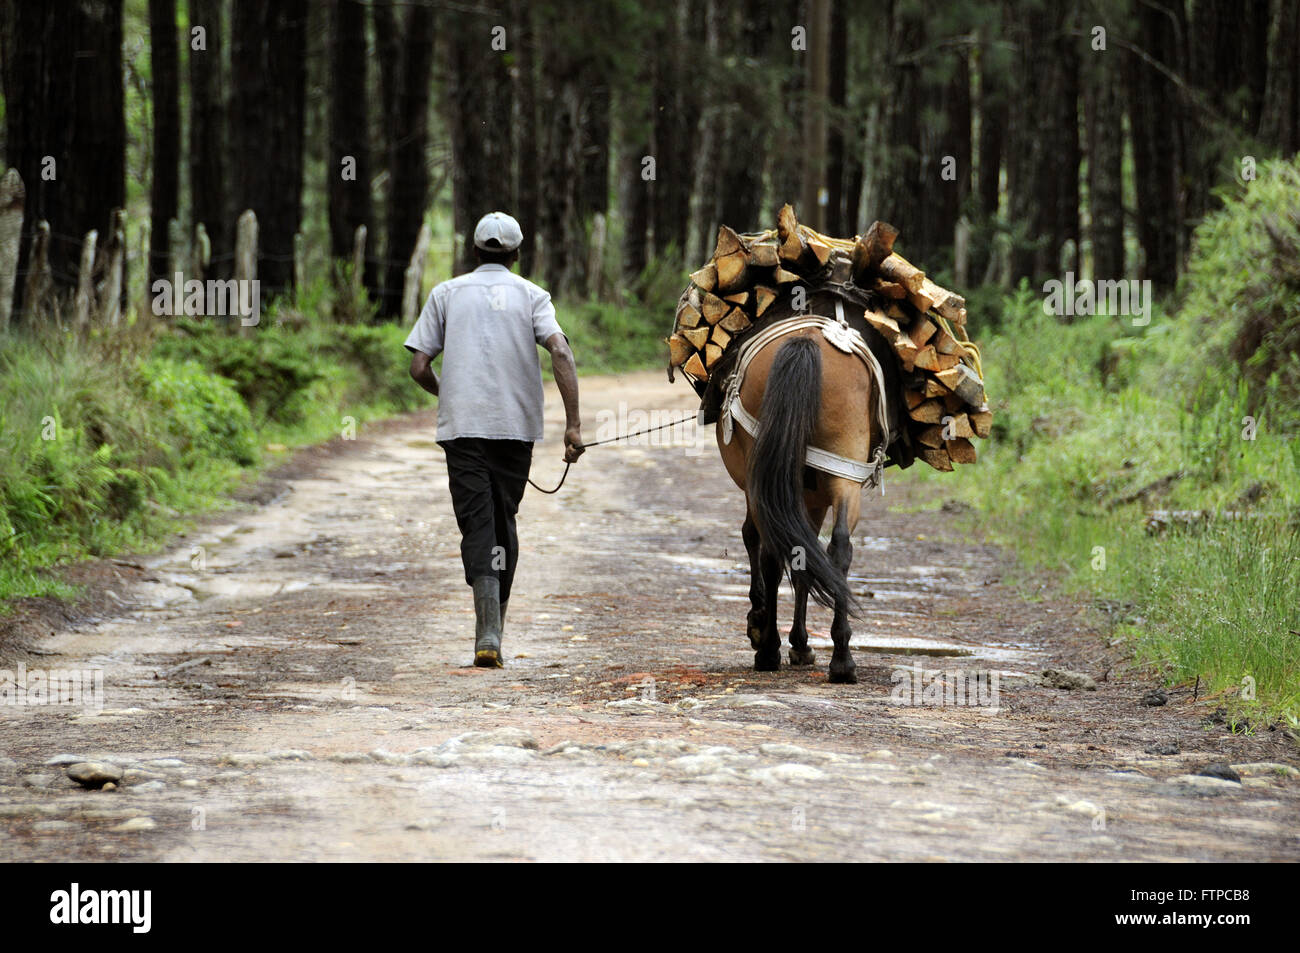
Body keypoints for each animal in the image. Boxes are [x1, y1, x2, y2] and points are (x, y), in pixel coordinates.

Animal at [712, 288, 894, 686]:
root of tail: (807, 340)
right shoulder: (810, 496)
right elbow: (803, 558)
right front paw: (796, 642)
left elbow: (761, 542)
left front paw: (767, 628)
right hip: (843, 474)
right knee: (838, 548)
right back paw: (842, 659)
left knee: (777, 550)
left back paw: (769, 650)